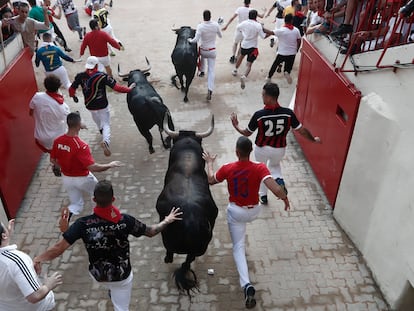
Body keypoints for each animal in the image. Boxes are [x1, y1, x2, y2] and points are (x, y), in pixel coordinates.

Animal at [156, 115, 220, 298]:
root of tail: (190, 222)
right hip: (200, 248)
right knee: (188, 260)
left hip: (167, 238)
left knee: (171, 252)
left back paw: (168, 259)